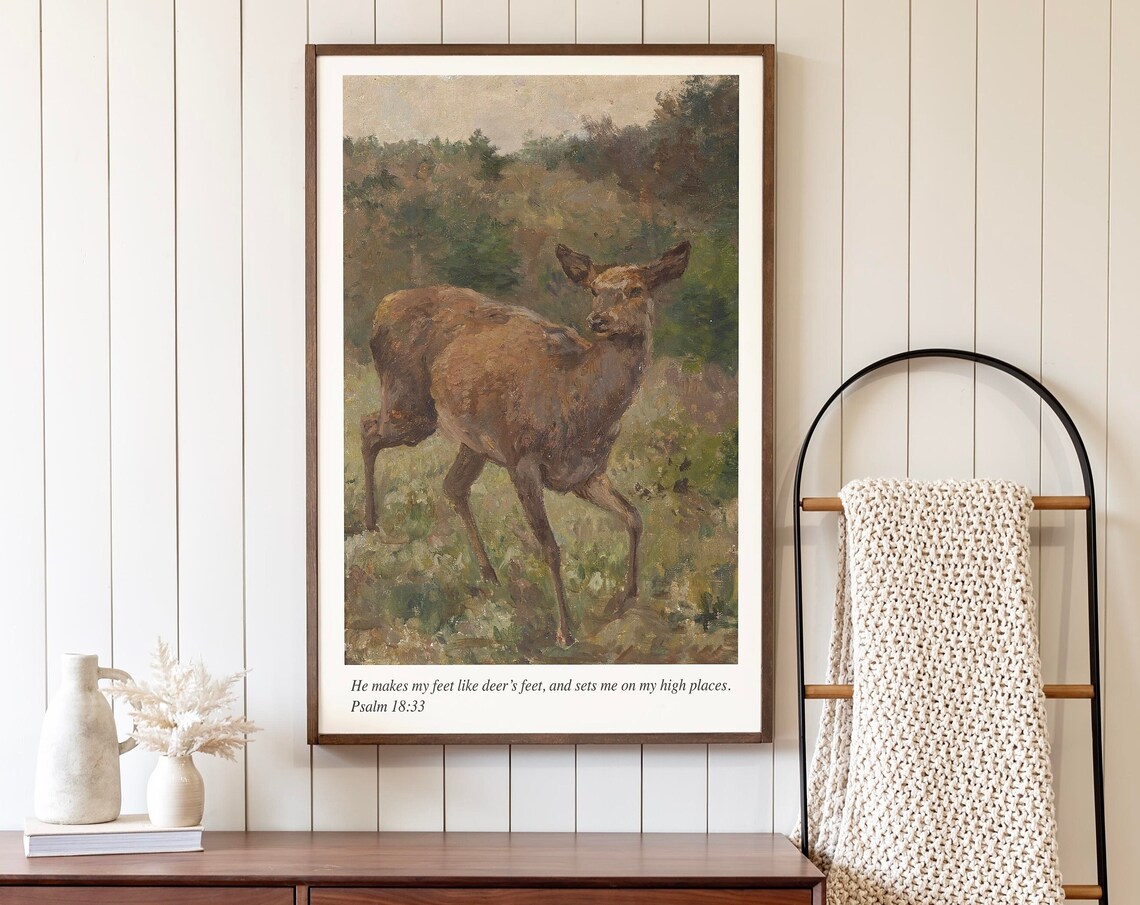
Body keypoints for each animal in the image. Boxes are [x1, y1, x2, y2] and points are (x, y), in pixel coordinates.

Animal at [361, 240, 691, 647]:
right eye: (594, 290)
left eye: (636, 289)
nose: (598, 320)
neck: (580, 402)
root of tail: (383, 304)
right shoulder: (523, 460)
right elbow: (550, 547)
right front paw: (565, 631)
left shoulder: (588, 474)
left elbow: (633, 517)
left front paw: (627, 597)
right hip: (410, 405)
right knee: (367, 428)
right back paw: (371, 525)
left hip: (473, 440)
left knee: (452, 485)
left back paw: (489, 575)